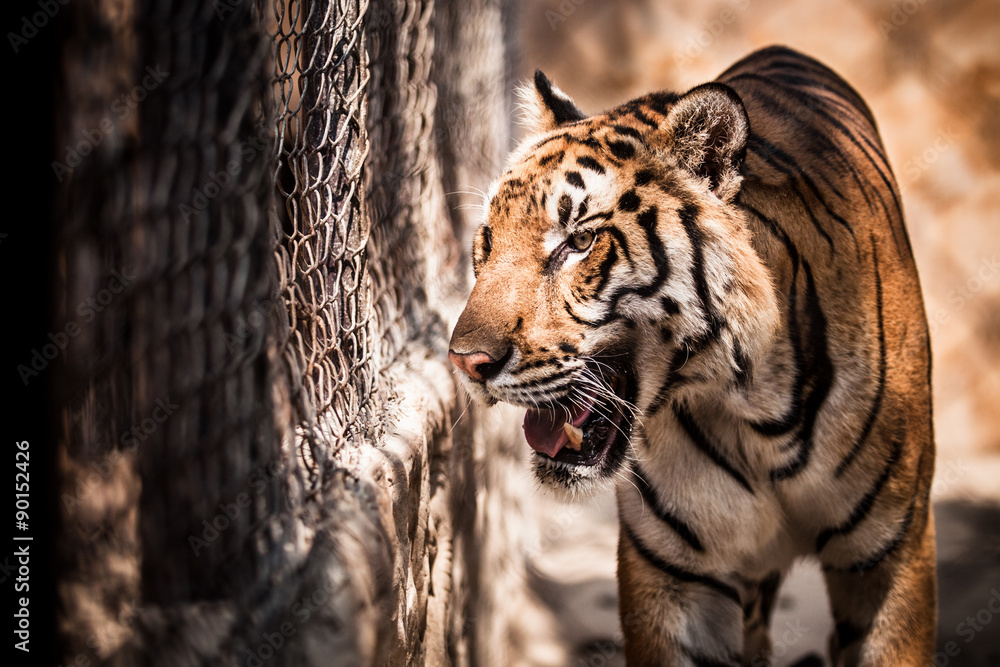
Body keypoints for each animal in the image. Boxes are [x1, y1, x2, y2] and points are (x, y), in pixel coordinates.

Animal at [448, 45, 936, 666]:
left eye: (579, 241)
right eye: (487, 240)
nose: (465, 361)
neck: (752, 408)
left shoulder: (889, 556)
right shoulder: (673, 573)